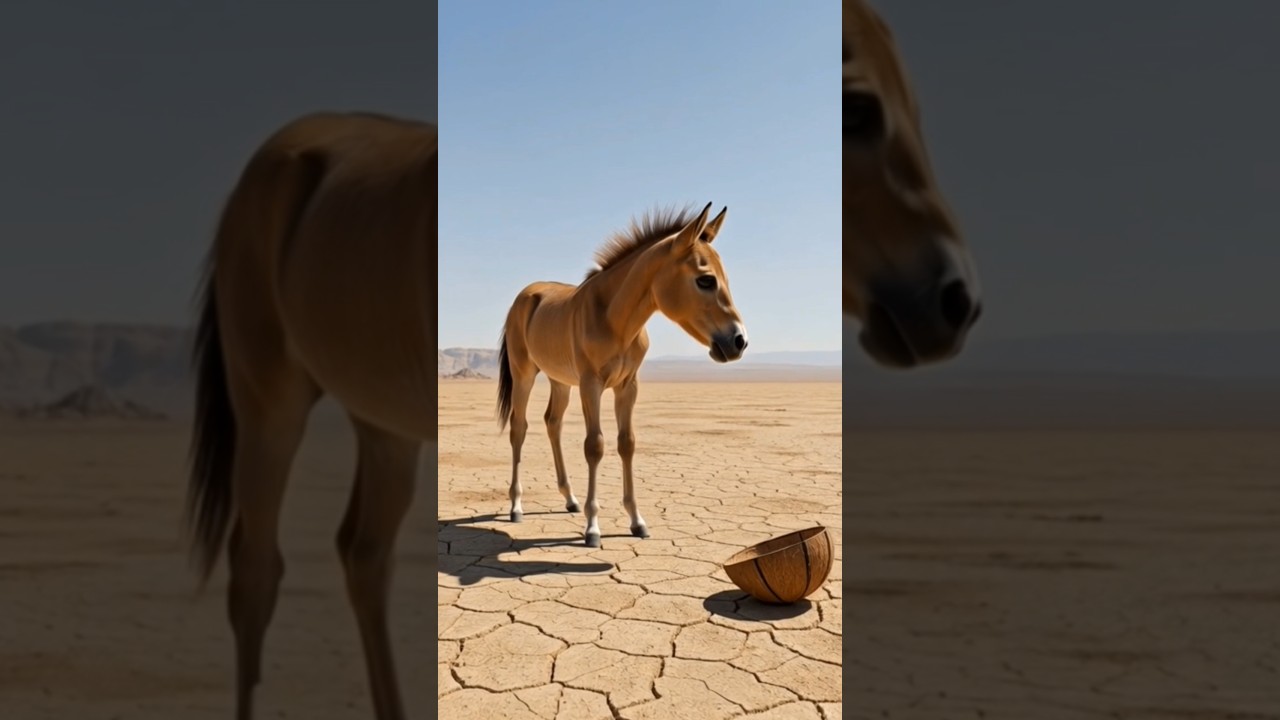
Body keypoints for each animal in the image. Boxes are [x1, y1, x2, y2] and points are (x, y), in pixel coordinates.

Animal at [495, 202, 747, 548]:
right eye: (705, 280)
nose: (739, 341)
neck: (614, 319)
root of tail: (525, 296)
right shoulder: (591, 385)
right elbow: (595, 446)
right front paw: (592, 529)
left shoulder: (627, 386)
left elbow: (626, 443)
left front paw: (637, 521)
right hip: (524, 374)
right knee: (519, 428)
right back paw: (517, 506)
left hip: (560, 380)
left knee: (553, 423)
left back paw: (570, 499)